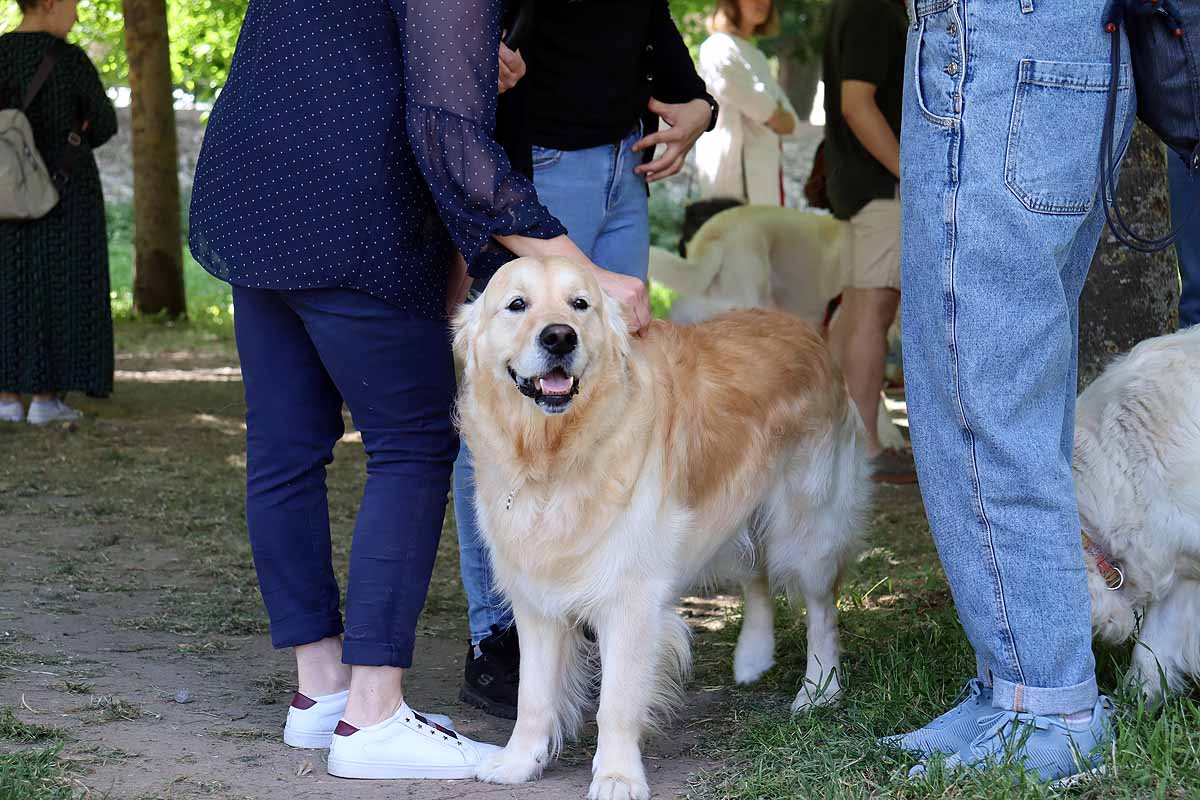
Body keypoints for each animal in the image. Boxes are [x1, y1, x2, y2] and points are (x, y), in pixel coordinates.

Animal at [453, 257, 868, 800]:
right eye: (516, 304)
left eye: (579, 304)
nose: (560, 337)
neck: (553, 456)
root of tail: (800, 326)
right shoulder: (536, 599)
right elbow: (534, 695)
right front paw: (519, 762)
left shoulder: (630, 600)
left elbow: (616, 703)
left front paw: (616, 776)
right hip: (736, 509)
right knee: (755, 578)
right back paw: (753, 659)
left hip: (805, 525)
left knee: (821, 609)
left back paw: (819, 690)